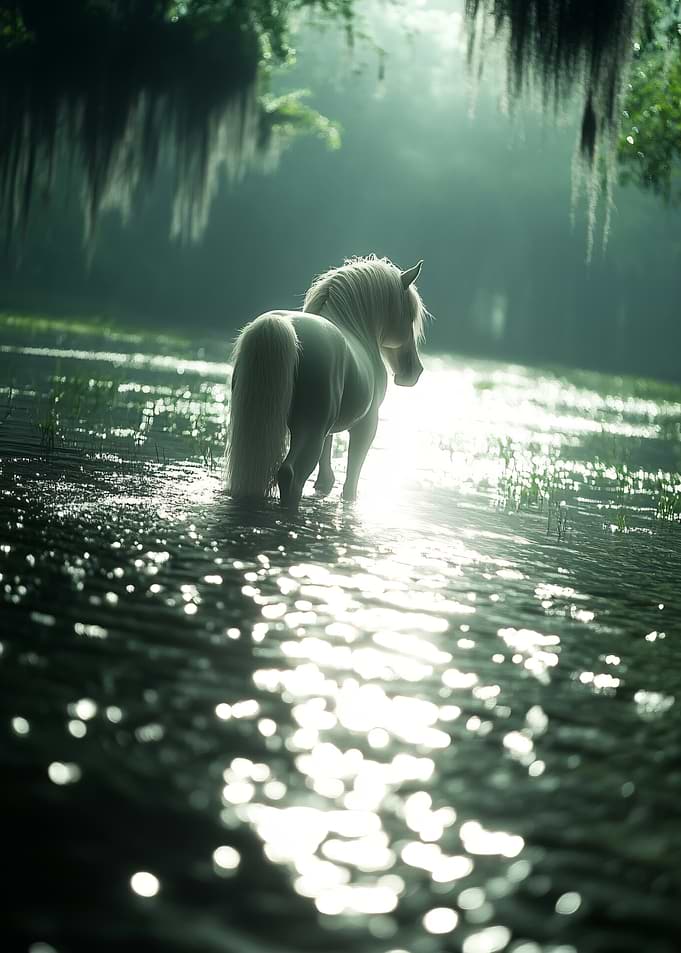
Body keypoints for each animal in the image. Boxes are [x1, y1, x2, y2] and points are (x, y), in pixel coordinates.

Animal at [225, 255, 428, 510]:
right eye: (409, 314)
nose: (414, 371)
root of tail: (282, 326)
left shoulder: (327, 430)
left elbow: (326, 466)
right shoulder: (366, 425)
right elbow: (352, 478)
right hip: (309, 430)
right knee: (290, 474)